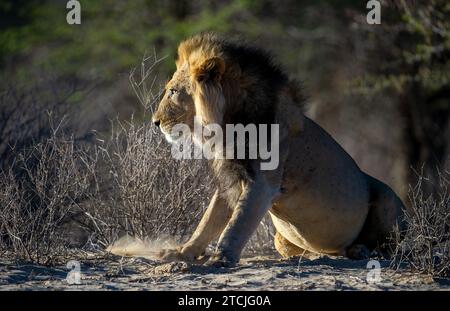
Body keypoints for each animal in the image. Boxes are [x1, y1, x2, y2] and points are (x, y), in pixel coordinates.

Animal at [150, 33, 404, 268]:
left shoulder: (263, 182)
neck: (227, 124)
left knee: (392, 248)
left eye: (172, 92)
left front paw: (220, 259)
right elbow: (208, 221)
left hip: (388, 198)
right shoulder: (231, 179)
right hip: (281, 240)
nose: (155, 122)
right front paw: (182, 253)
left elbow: (237, 225)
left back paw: (362, 250)